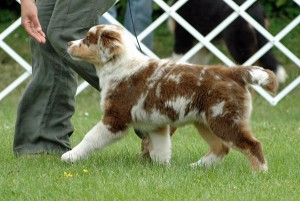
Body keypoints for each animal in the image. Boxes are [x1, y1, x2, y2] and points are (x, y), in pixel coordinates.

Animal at [62, 23, 278, 171]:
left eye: (88, 39)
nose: (68, 43)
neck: (119, 66)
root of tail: (234, 72)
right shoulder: (155, 124)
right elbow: (161, 148)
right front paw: (162, 169)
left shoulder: (116, 118)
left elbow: (91, 137)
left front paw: (70, 156)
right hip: (205, 121)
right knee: (221, 148)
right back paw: (196, 167)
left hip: (224, 119)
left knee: (252, 144)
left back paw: (260, 174)